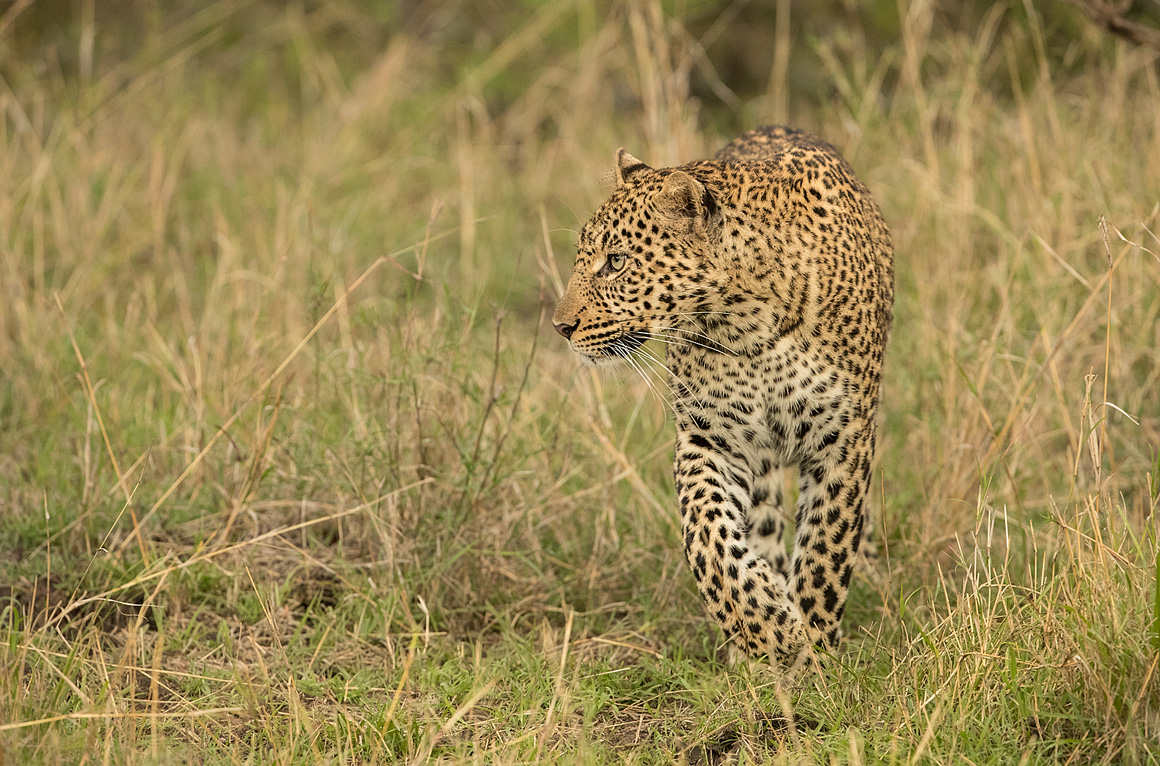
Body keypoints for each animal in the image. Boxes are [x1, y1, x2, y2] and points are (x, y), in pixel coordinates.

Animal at [554, 127, 895, 663]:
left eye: (616, 262)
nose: (560, 327)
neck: (746, 324)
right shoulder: (711, 438)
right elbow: (707, 537)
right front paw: (767, 628)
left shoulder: (844, 438)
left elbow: (825, 549)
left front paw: (816, 649)